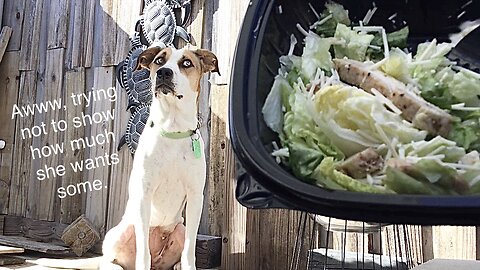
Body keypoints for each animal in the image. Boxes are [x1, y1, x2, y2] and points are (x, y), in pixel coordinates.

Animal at [32, 47, 220, 268]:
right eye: (159, 60)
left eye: (187, 63)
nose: (163, 73)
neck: (172, 129)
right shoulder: (144, 193)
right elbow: (143, 252)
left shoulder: (195, 197)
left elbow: (189, 251)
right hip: (119, 232)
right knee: (111, 260)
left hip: (179, 228)